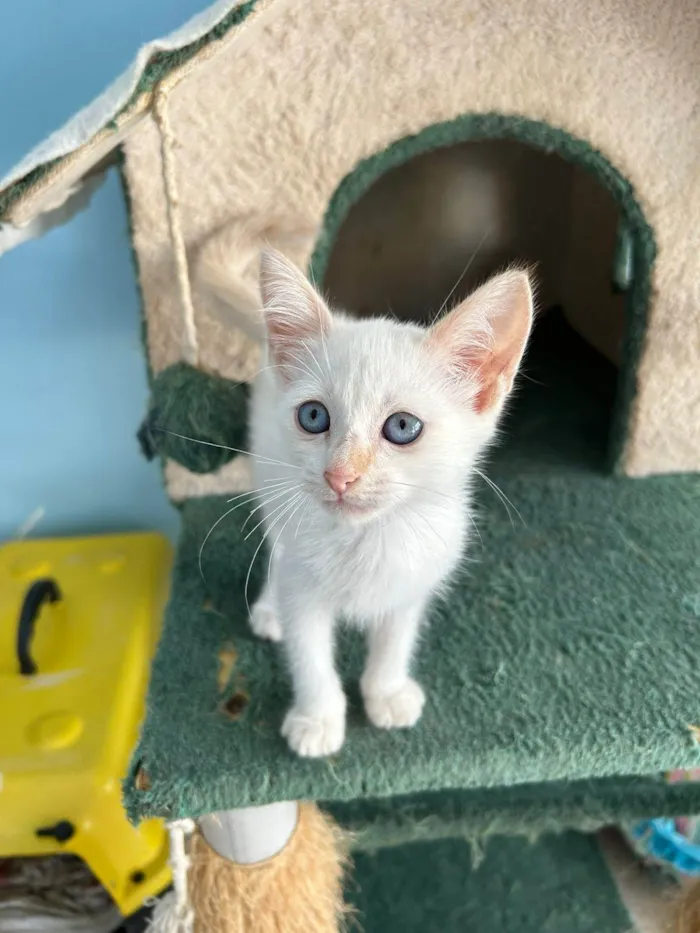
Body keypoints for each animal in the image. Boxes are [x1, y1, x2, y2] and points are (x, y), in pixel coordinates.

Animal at [205, 246, 532, 748]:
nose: (340, 475)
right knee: (277, 544)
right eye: (313, 416)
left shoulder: (415, 575)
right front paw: (318, 718)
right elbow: (309, 654)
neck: (365, 538)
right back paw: (269, 607)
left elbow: (396, 638)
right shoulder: (304, 590)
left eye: (402, 426)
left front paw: (387, 691)